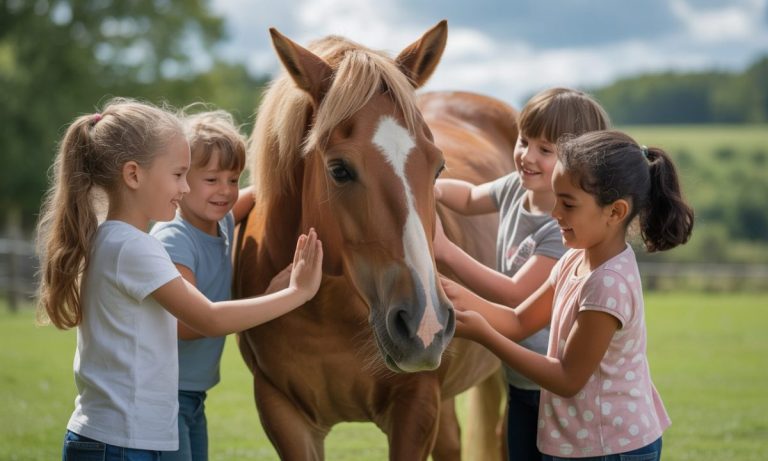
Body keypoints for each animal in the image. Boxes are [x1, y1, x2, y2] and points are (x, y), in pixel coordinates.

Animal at [234, 20, 517, 460]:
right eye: (339, 169)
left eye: (438, 167)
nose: (425, 324)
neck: (327, 314)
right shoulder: (283, 414)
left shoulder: (415, 409)